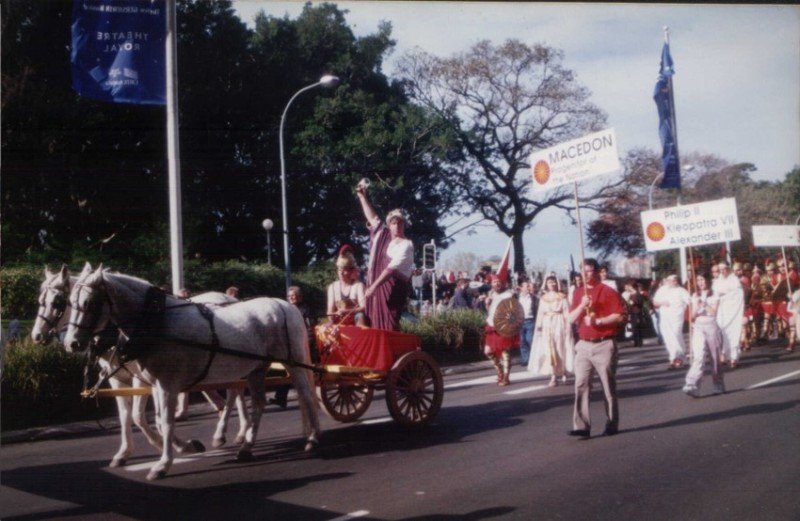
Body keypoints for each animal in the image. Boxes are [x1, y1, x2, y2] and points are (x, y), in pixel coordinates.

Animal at [31, 266, 248, 466]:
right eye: (41, 301)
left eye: (58, 302)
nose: (36, 336)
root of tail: (229, 298)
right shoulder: (118, 379)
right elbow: (126, 416)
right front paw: (124, 453)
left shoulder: (142, 378)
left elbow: (140, 416)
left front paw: (177, 445)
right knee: (229, 392)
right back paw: (231, 427)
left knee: (235, 392)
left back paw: (235, 431)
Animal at [63, 264, 318, 480]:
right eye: (69, 301)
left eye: (88, 302)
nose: (72, 343)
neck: (157, 321)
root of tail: (286, 305)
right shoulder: (156, 384)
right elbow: (156, 419)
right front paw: (184, 447)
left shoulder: (167, 384)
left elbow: (166, 421)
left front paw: (163, 464)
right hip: (256, 369)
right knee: (258, 403)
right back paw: (246, 447)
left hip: (293, 362)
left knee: (306, 395)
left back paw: (312, 439)